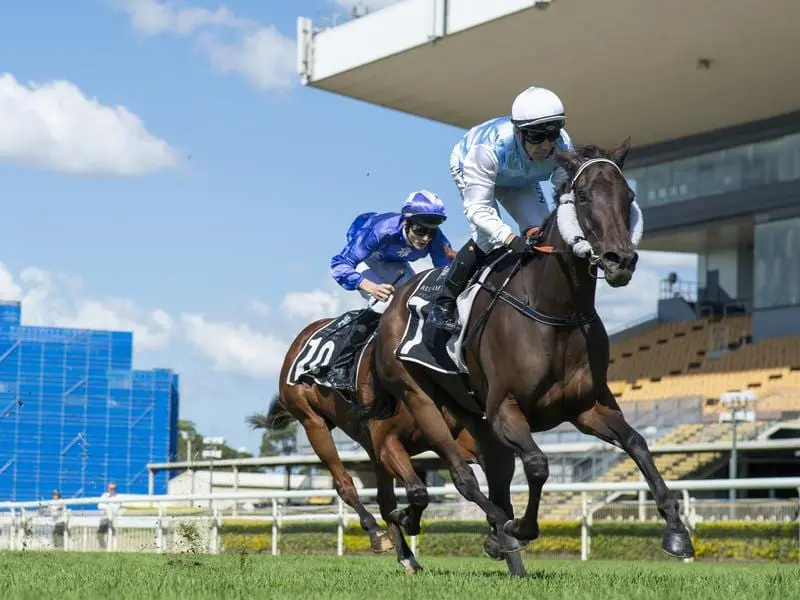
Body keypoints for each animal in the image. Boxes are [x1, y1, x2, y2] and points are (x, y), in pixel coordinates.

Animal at [252, 314, 524, 572]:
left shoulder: (460, 442)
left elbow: (489, 487)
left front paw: (503, 542)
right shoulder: (388, 443)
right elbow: (419, 492)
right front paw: (408, 520)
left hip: (368, 445)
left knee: (383, 499)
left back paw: (406, 555)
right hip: (314, 424)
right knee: (345, 484)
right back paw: (377, 534)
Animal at [376, 139, 692, 556]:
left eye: (629, 196)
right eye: (584, 195)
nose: (620, 259)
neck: (556, 311)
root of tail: (395, 301)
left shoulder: (587, 407)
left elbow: (638, 444)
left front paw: (676, 530)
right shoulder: (503, 410)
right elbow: (539, 464)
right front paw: (522, 527)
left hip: (470, 416)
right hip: (420, 398)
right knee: (460, 475)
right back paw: (461, 522)